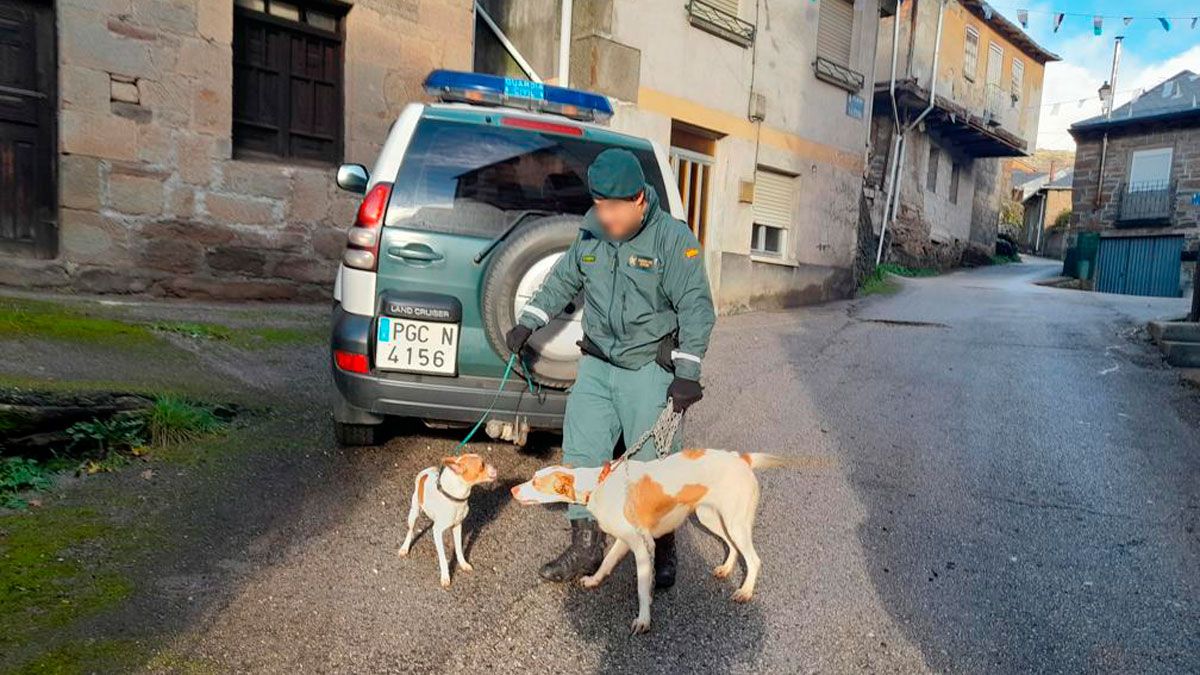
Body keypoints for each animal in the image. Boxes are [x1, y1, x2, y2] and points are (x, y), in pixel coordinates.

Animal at [398, 451, 496, 588]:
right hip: (414, 513)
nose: (495, 468)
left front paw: (463, 564)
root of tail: (426, 472)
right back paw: (404, 548)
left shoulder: (457, 526)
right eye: (482, 465)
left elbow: (459, 549)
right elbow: (443, 558)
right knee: (410, 530)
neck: (456, 497)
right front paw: (445, 576)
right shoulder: (437, 532)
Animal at [513, 446, 787, 629]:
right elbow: (607, 562)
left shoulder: (643, 547)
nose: (513, 489)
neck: (598, 484)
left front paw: (643, 619)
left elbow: (642, 586)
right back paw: (726, 569)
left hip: (735, 522)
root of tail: (740, 458)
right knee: (732, 546)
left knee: (753, 559)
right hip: (710, 516)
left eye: (536, 482)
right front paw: (594, 579)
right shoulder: (624, 541)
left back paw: (745, 591)